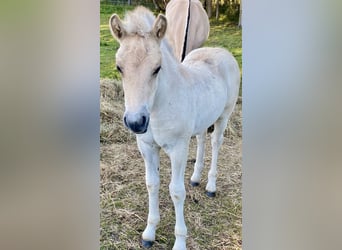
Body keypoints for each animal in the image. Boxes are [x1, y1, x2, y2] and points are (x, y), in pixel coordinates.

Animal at [109, 5, 240, 250]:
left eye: (157, 68)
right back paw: (196, 177)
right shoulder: (147, 147)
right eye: (119, 68)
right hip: (202, 120)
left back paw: (210, 186)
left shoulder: (178, 148)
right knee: (201, 139)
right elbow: (152, 184)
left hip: (224, 115)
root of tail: (222, 51)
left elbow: (176, 191)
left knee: (216, 143)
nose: (136, 122)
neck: (157, 108)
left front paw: (179, 241)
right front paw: (149, 233)